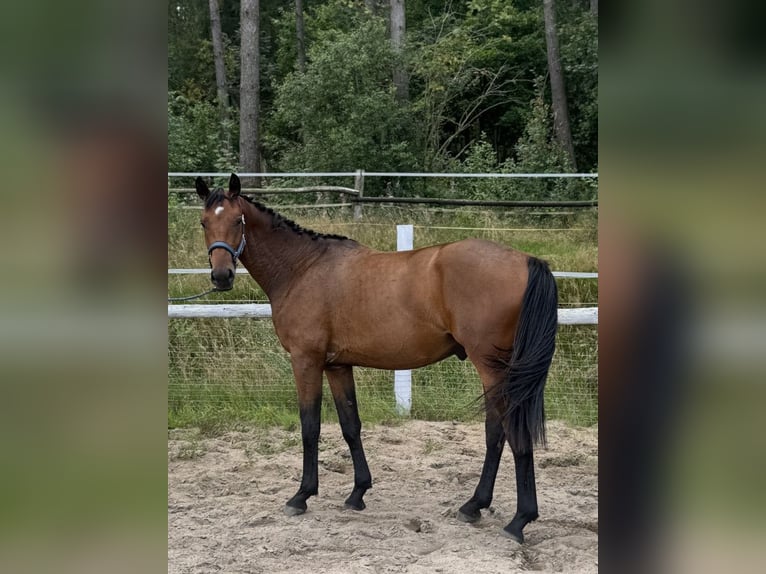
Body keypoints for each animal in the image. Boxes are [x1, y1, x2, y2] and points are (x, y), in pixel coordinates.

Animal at [194, 173, 558, 543]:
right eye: (205, 222)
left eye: (238, 220)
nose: (221, 277)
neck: (302, 268)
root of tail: (527, 260)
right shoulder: (337, 365)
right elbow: (350, 426)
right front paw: (358, 492)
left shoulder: (306, 360)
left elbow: (310, 426)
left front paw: (301, 496)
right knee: (498, 434)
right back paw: (475, 506)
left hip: (493, 370)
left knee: (507, 433)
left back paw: (517, 520)